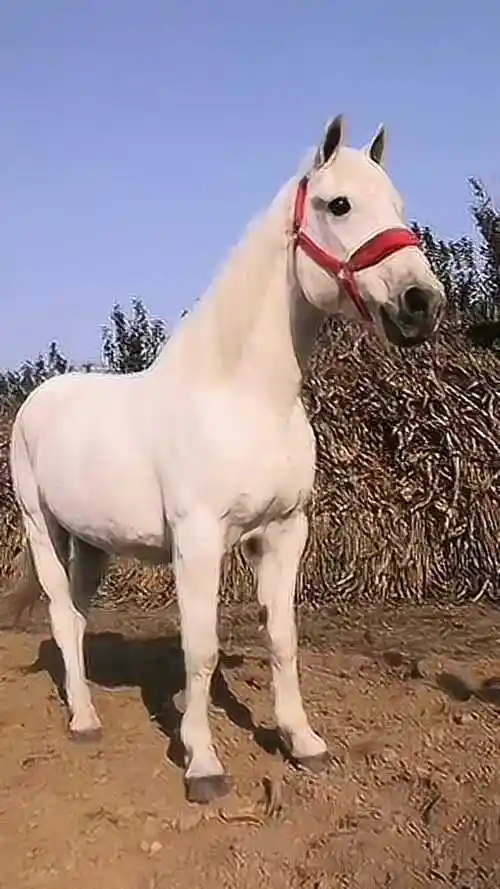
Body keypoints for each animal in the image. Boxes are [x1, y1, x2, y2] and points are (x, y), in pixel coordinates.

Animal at [7, 114, 445, 803]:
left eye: (399, 206)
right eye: (338, 204)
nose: (421, 302)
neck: (244, 398)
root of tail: (38, 398)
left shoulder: (285, 532)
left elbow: (282, 638)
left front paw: (304, 743)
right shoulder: (198, 541)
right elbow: (201, 648)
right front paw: (203, 764)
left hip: (93, 542)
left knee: (76, 619)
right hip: (41, 528)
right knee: (57, 613)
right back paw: (82, 721)